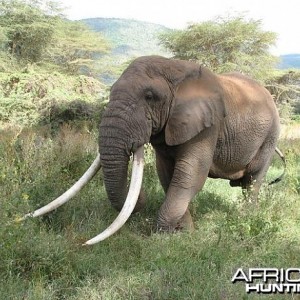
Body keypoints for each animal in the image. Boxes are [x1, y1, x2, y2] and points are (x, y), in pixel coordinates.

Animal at [22, 55, 284, 245]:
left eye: (149, 96)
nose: (142, 200)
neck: (174, 68)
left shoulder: (209, 125)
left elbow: (189, 176)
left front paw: (165, 237)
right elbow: (167, 174)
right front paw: (183, 234)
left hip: (270, 134)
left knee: (253, 180)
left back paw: (245, 218)